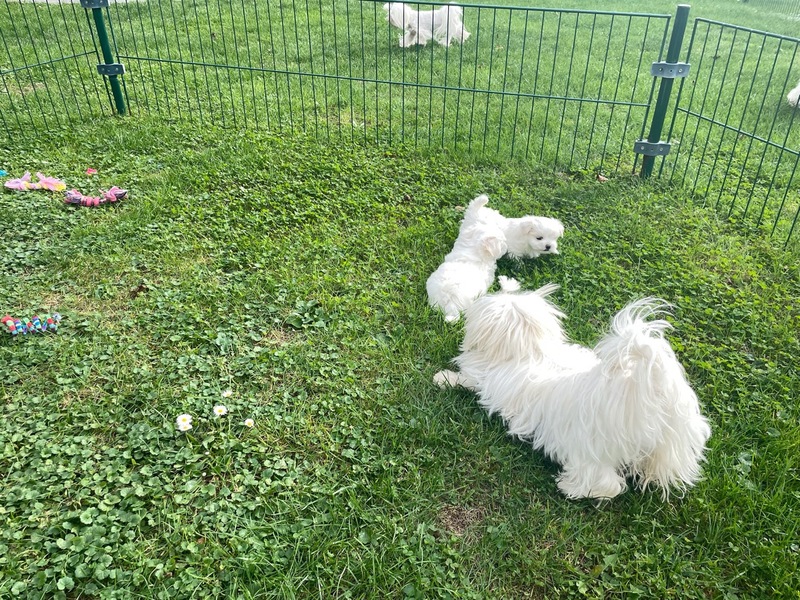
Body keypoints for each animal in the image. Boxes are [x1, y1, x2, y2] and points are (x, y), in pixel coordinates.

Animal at [434, 279, 711, 500]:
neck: (532, 349)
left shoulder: (481, 378)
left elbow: (464, 380)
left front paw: (443, 378)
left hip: (589, 450)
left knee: (606, 483)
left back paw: (571, 488)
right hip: (665, 445)